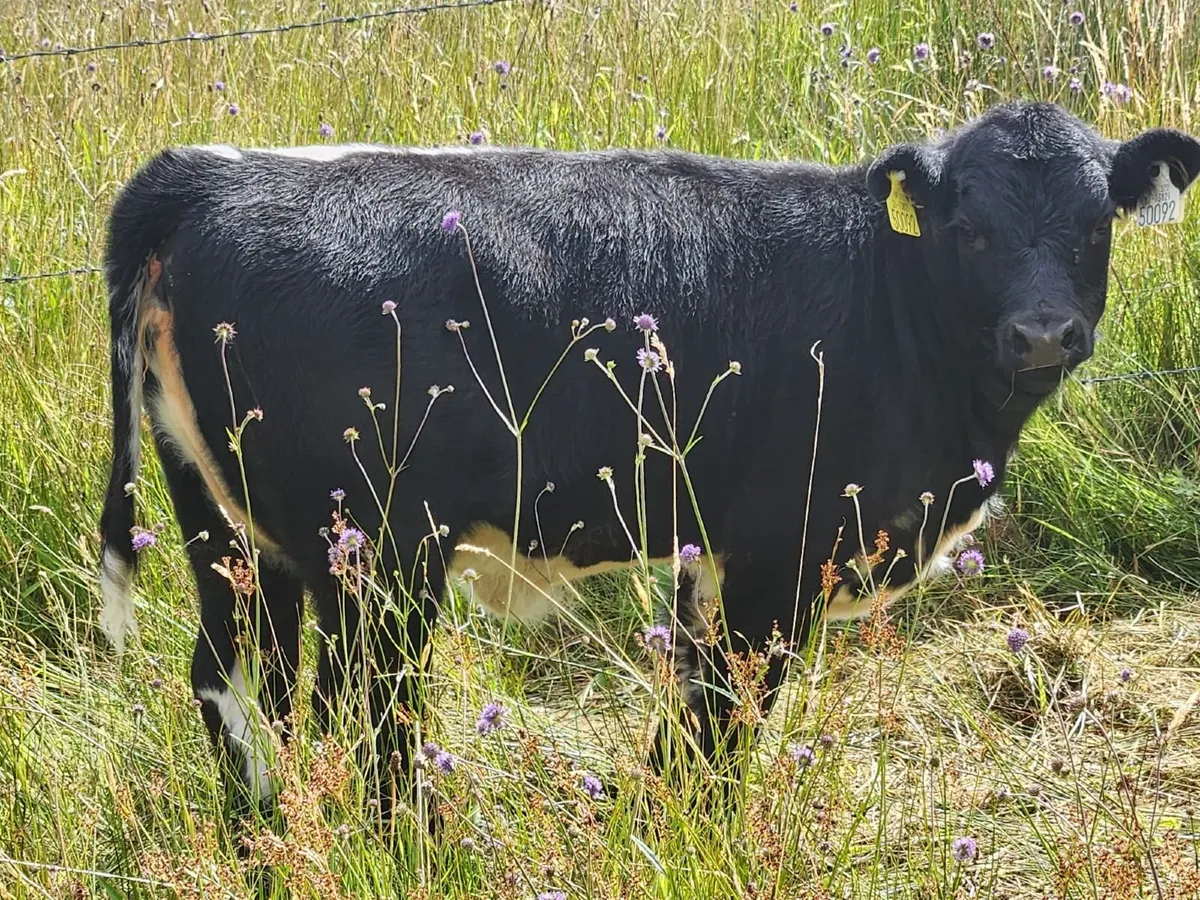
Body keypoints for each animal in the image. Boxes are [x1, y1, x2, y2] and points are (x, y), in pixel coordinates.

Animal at [97, 100, 1200, 829]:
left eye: (1095, 224)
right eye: (969, 230)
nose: (1045, 332)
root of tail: (210, 171)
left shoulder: (713, 551)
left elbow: (696, 715)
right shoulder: (776, 554)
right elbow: (727, 717)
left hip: (231, 531)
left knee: (243, 685)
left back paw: (267, 835)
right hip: (374, 549)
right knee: (368, 707)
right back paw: (406, 842)